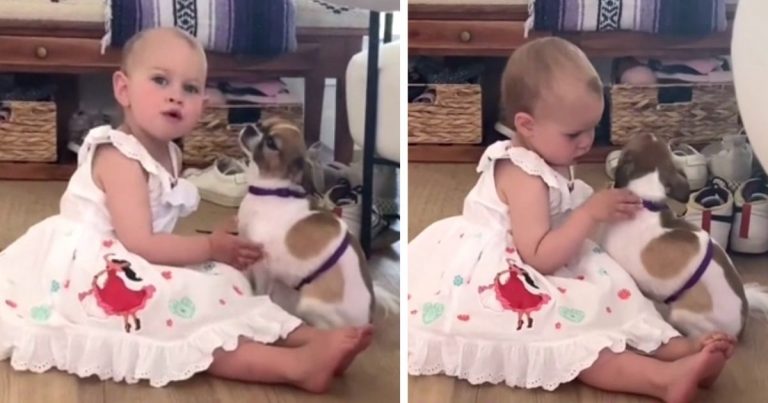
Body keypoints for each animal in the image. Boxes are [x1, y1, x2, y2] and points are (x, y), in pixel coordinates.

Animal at [237, 118, 400, 330]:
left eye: (271, 143)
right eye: (260, 123)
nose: (250, 126)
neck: (271, 190)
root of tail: (366, 322)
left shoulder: (263, 265)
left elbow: (260, 291)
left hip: (308, 305)